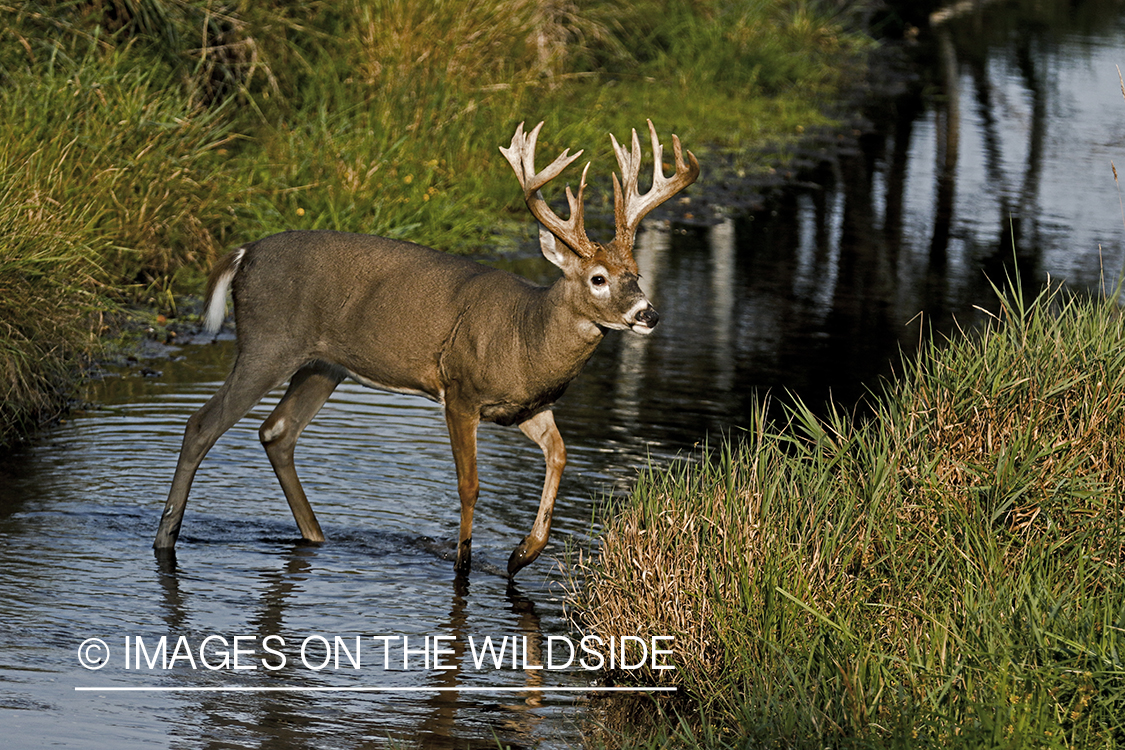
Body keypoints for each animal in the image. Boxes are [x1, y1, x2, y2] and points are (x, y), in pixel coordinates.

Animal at [154, 120, 697, 580]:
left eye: (636, 274)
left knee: (277, 430)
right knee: (202, 423)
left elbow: (560, 456)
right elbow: (469, 483)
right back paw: (166, 540)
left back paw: (316, 537)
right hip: (267, 342)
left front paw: (522, 555)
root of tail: (243, 254)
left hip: (322, 365)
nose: (647, 314)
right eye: (598, 278)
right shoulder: (460, 391)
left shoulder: (525, 408)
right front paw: (463, 564)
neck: (525, 338)